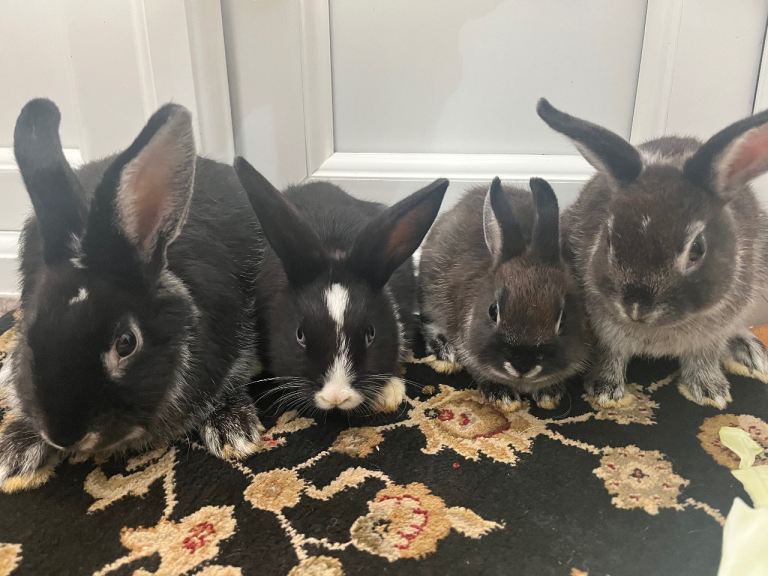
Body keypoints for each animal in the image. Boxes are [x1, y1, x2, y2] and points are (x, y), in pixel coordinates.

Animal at [419, 176, 590, 411]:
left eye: (562, 319)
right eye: (493, 311)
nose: (522, 365)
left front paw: (549, 394)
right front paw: (502, 396)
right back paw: (445, 351)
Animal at [537, 97, 768, 409]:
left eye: (697, 248)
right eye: (608, 237)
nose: (636, 307)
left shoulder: (717, 329)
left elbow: (704, 356)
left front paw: (711, 391)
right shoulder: (605, 326)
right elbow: (612, 353)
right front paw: (604, 389)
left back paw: (750, 350)